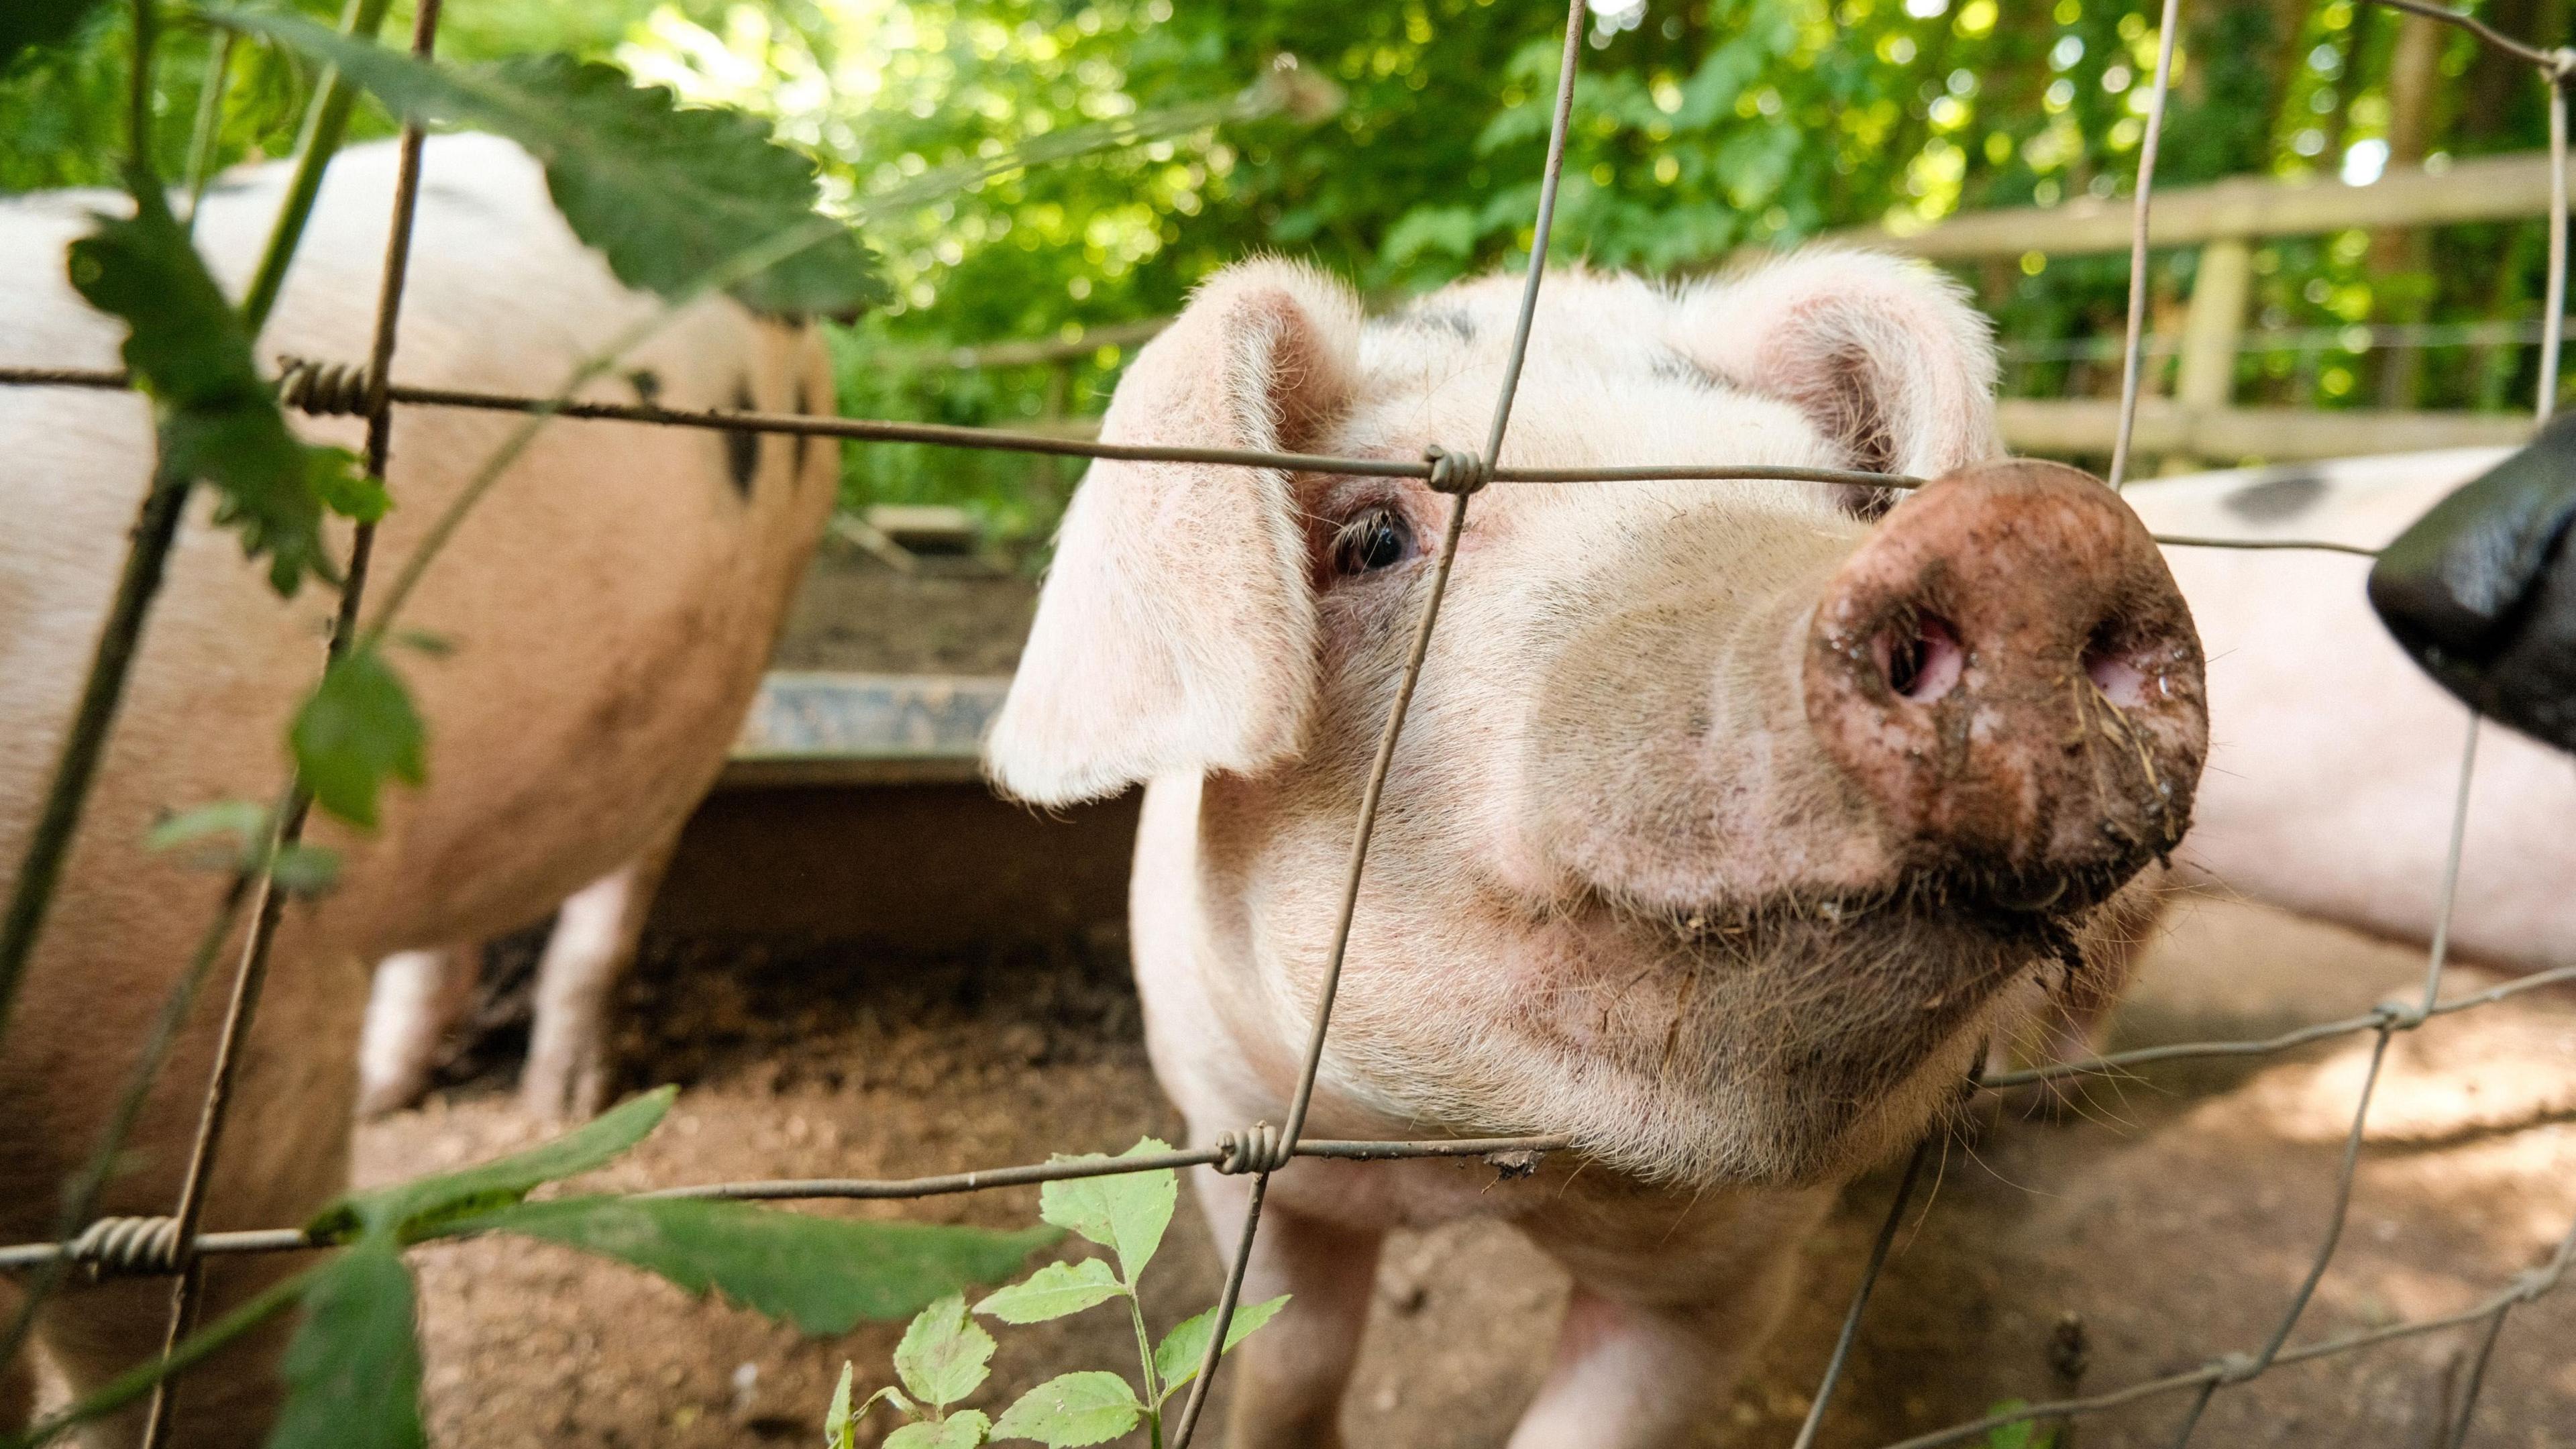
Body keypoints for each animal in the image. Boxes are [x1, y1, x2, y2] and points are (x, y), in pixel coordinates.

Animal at [983, 254, 2215, 1433]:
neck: (1474, 1165)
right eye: (1372, 537)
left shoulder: (1723, 1284)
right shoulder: (1237, 1137)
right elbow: (1293, 1359)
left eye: (1853, 503)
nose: (2038, 537)